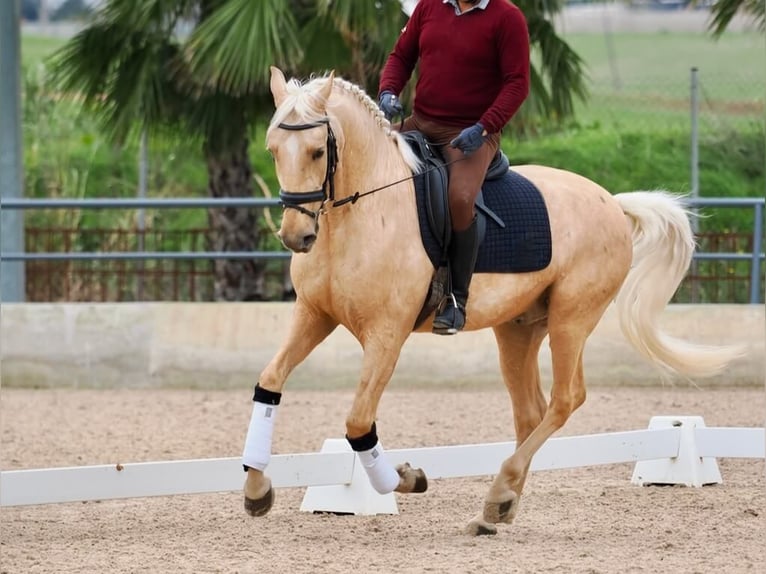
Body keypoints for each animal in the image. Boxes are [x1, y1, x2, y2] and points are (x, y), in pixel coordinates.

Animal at [243, 68, 748, 540]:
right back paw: (497, 508)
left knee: (565, 399)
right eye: (273, 150)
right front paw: (256, 489)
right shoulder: (314, 315)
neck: (361, 213)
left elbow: (357, 422)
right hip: (519, 328)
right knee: (531, 411)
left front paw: (405, 479)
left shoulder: (387, 333)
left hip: (572, 319)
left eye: (316, 151)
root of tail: (611, 201)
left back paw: (500, 491)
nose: (296, 237)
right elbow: (269, 382)